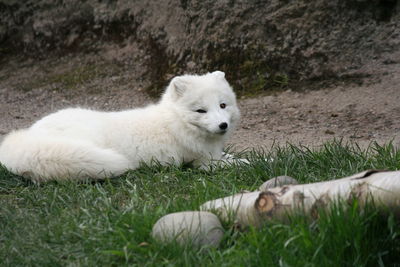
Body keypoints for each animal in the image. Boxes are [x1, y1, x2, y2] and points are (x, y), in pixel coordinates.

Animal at [0, 71, 241, 183]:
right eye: (201, 111)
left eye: (222, 105)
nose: (223, 125)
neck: (175, 121)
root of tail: (28, 136)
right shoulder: (202, 163)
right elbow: (239, 164)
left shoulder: (215, 155)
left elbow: (235, 157)